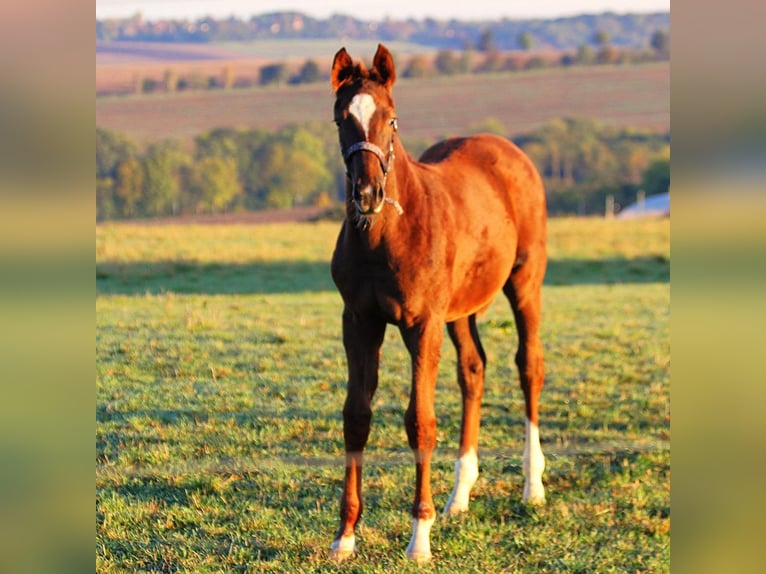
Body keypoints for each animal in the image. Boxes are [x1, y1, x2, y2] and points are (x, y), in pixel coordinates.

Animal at [328, 44, 544, 564]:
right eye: (342, 118)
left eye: (391, 119)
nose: (368, 194)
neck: (387, 236)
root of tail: (507, 150)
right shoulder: (358, 321)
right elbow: (356, 416)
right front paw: (345, 537)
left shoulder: (421, 323)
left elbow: (420, 422)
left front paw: (418, 539)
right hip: (461, 308)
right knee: (474, 370)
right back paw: (459, 495)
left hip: (524, 281)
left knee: (529, 364)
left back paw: (533, 485)